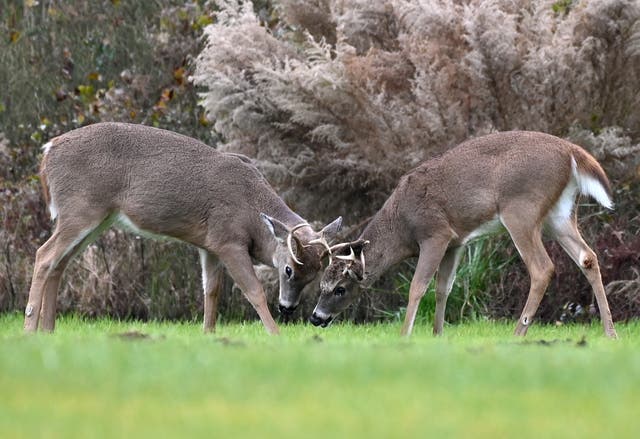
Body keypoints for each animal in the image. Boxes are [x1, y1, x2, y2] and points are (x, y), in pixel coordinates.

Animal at [25, 122, 342, 336]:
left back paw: (48, 330)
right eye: (288, 269)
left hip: (96, 218)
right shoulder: (228, 239)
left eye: (315, 275)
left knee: (59, 263)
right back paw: (30, 329)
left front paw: (208, 334)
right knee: (44, 255)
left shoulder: (210, 245)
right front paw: (275, 335)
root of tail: (48, 151)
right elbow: (253, 290)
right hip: (81, 208)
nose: (288, 307)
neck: (252, 209)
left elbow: (211, 291)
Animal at [308, 132, 616, 338]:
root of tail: (572, 152)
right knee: (587, 257)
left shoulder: (436, 233)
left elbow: (418, 286)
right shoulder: (456, 242)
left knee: (542, 268)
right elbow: (443, 288)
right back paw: (610, 332)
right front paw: (437, 334)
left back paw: (518, 333)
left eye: (340, 288)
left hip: (521, 209)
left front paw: (405, 335)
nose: (316, 317)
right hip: (559, 214)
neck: (401, 224)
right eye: (321, 284)